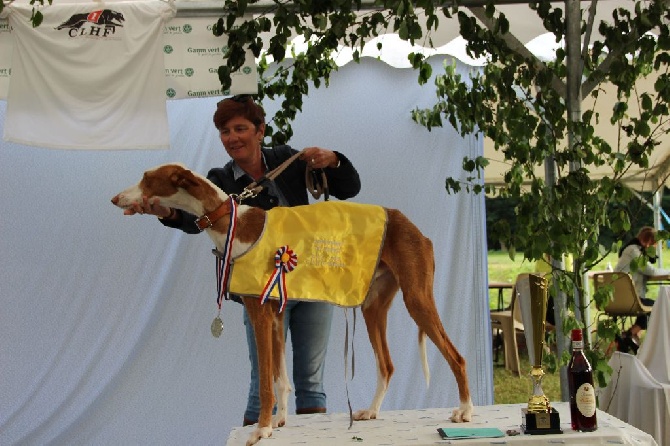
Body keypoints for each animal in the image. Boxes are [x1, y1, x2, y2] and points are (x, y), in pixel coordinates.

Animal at [111, 164, 472, 446]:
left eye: (147, 177)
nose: (115, 199)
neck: (232, 223)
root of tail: (414, 228)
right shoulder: (274, 313)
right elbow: (281, 379)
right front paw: (278, 423)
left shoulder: (259, 312)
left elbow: (266, 383)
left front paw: (260, 430)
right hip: (373, 307)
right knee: (387, 365)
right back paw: (371, 411)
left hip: (417, 298)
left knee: (457, 357)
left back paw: (465, 411)